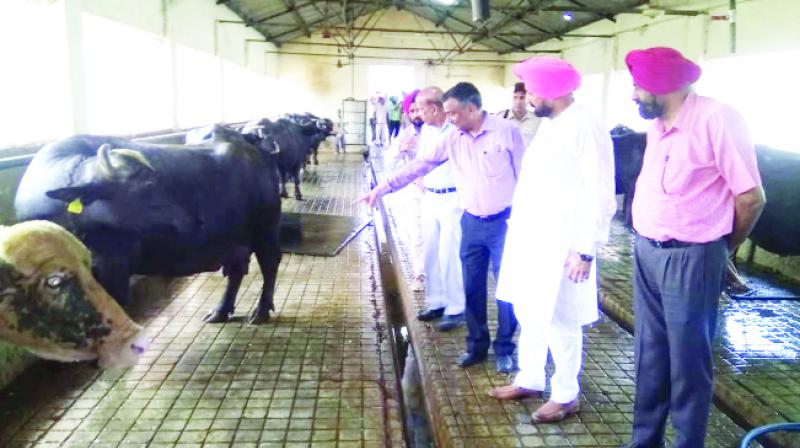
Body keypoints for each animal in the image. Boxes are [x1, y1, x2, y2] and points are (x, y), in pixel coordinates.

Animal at [13, 127, 284, 326]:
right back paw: (220, 311)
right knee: (236, 270)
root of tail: (252, 145)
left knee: (270, 263)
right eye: (148, 185)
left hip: (266, 228)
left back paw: (261, 312)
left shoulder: (113, 264)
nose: (195, 221)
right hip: (236, 239)